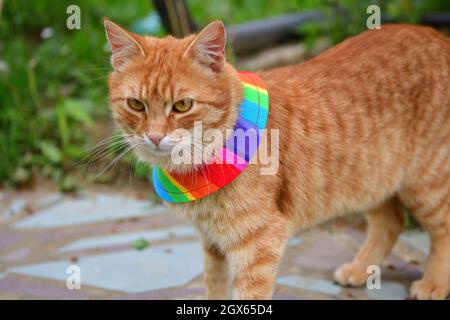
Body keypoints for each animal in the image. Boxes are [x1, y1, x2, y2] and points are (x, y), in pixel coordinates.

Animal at [103, 20, 450, 298]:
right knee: (391, 221)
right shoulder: (214, 244)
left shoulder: (258, 245)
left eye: (182, 105)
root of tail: (437, 35)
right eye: (136, 104)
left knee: (441, 229)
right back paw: (361, 269)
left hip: (428, 184)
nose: (154, 137)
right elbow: (214, 289)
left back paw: (433, 284)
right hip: (370, 180)